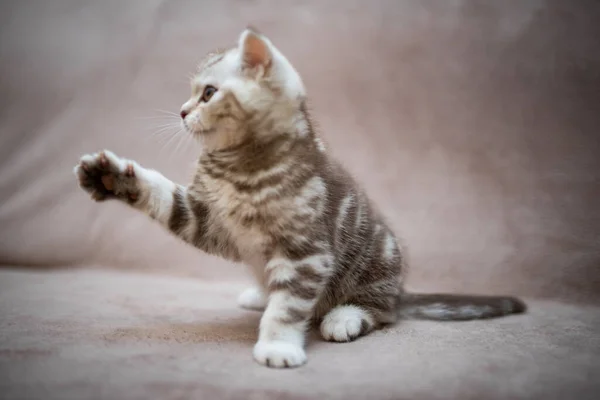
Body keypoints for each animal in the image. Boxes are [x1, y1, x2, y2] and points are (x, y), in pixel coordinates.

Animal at [74, 27, 524, 368]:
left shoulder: (306, 252)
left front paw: (278, 345)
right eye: (193, 94)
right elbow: (162, 195)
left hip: (380, 259)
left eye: (208, 93)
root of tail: (399, 289)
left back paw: (345, 317)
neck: (238, 168)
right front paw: (110, 176)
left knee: (382, 311)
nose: (182, 112)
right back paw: (260, 292)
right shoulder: (204, 217)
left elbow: (288, 306)